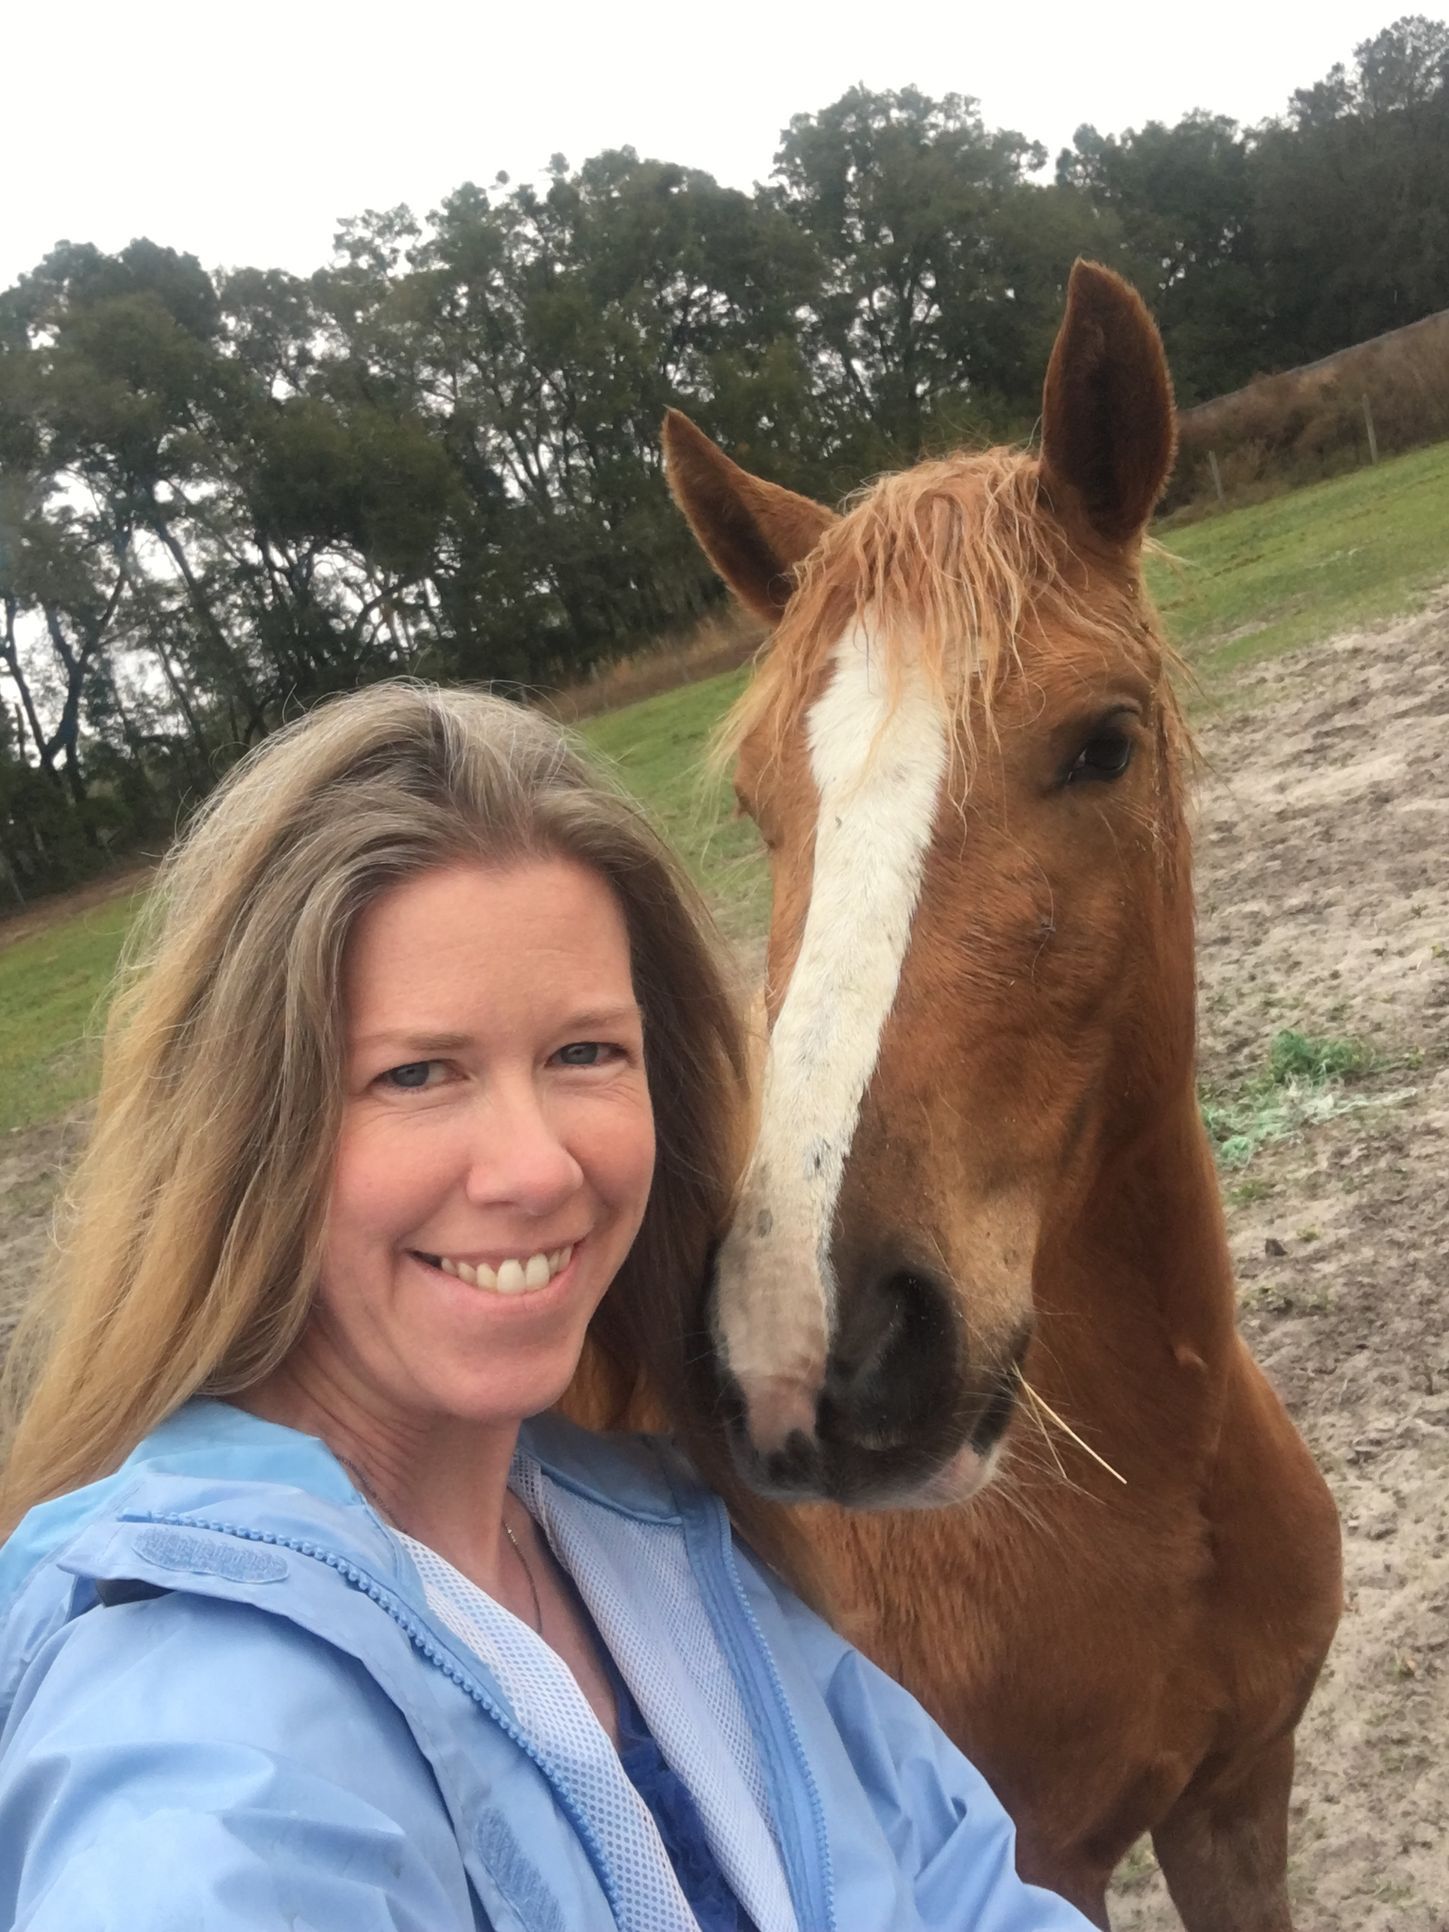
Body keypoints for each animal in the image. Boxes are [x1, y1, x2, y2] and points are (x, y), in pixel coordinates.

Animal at [660, 262, 1343, 1931]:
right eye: (758, 806)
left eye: (1102, 744)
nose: (804, 1348)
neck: (1147, 1499)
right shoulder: (1041, 1863)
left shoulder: (1240, 1798)